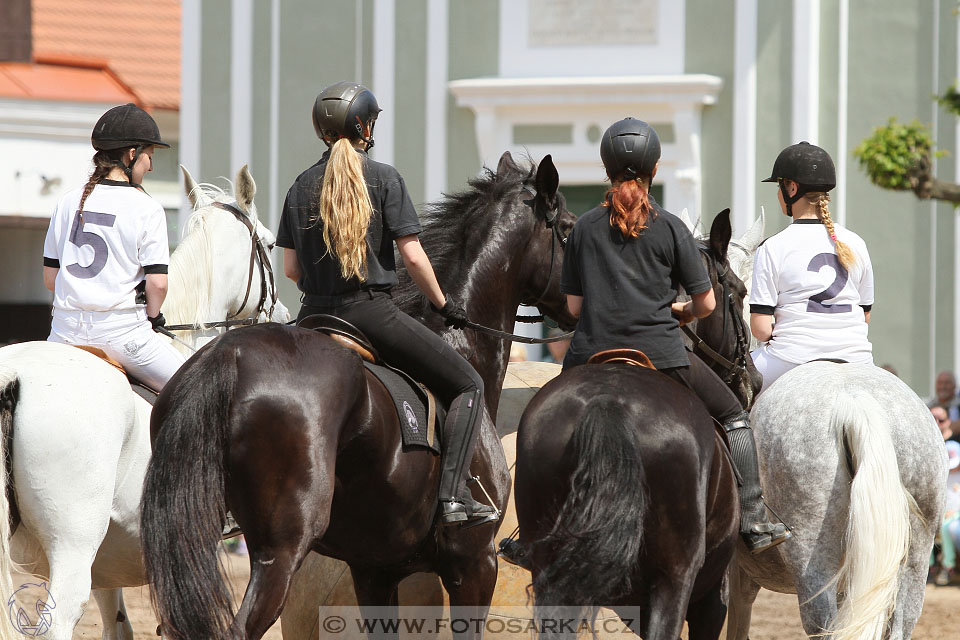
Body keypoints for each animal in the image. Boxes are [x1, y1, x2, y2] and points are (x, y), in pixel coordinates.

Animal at [0, 165, 288, 640]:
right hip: (74, 540)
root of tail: (15, 378)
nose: (282, 316)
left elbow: (118, 625)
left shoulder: (110, 564)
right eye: (267, 243)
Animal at [138, 152, 578, 640]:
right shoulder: (475, 562)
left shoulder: (375, 570)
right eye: (569, 227)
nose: (577, 311)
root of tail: (228, 356)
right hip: (280, 550)